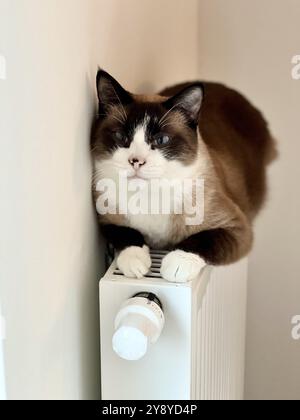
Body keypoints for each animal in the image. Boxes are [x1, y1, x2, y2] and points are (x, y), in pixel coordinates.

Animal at [91, 70, 276, 284]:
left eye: (161, 140)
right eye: (121, 137)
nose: (136, 161)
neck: (150, 195)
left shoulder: (237, 227)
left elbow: (202, 240)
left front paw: (177, 263)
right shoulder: (106, 219)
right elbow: (125, 233)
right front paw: (134, 260)